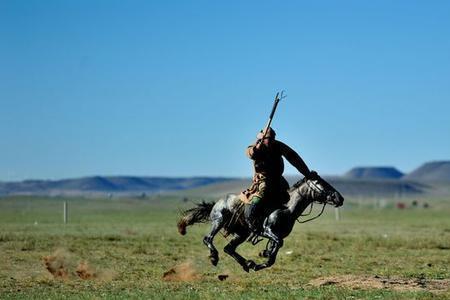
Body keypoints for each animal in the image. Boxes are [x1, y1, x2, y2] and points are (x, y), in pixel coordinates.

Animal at [178, 175, 342, 274]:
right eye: (320, 183)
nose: (339, 198)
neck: (287, 208)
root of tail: (215, 204)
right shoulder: (267, 230)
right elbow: (277, 245)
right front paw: (264, 255)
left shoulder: (276, 235)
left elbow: (273, 254)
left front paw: (260, 260)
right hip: (219, 221)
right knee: (208, 239)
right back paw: (214, 257)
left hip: (242, 233)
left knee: (229, 248)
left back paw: (246, 264)